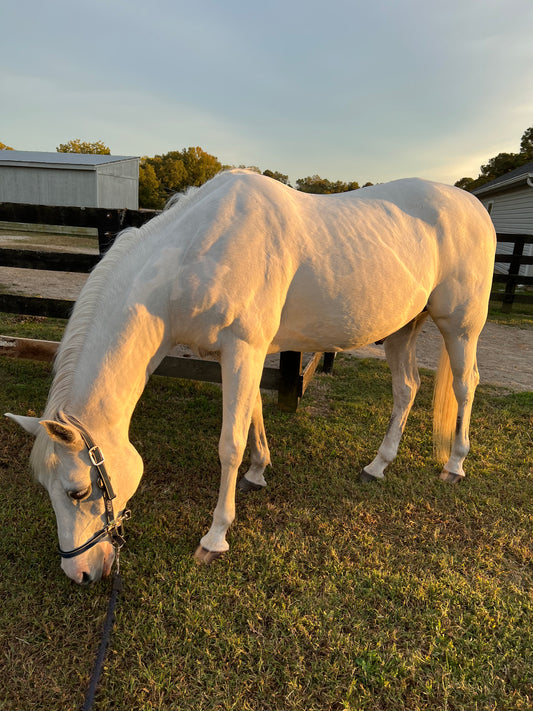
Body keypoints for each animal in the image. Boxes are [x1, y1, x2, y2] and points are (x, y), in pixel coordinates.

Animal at [5, 170, 494, 580]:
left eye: (77, 492)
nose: (80, 573)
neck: (194, 254)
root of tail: (475, 207)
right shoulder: (241, 354)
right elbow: (254, 414)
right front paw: (259, 471)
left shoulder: (243, 348)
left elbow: (229, 444)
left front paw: (215, 537)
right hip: (402, 329)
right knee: (406, 387)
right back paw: (378, 465)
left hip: (460, 327)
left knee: (465, 385)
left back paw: (455, 464)